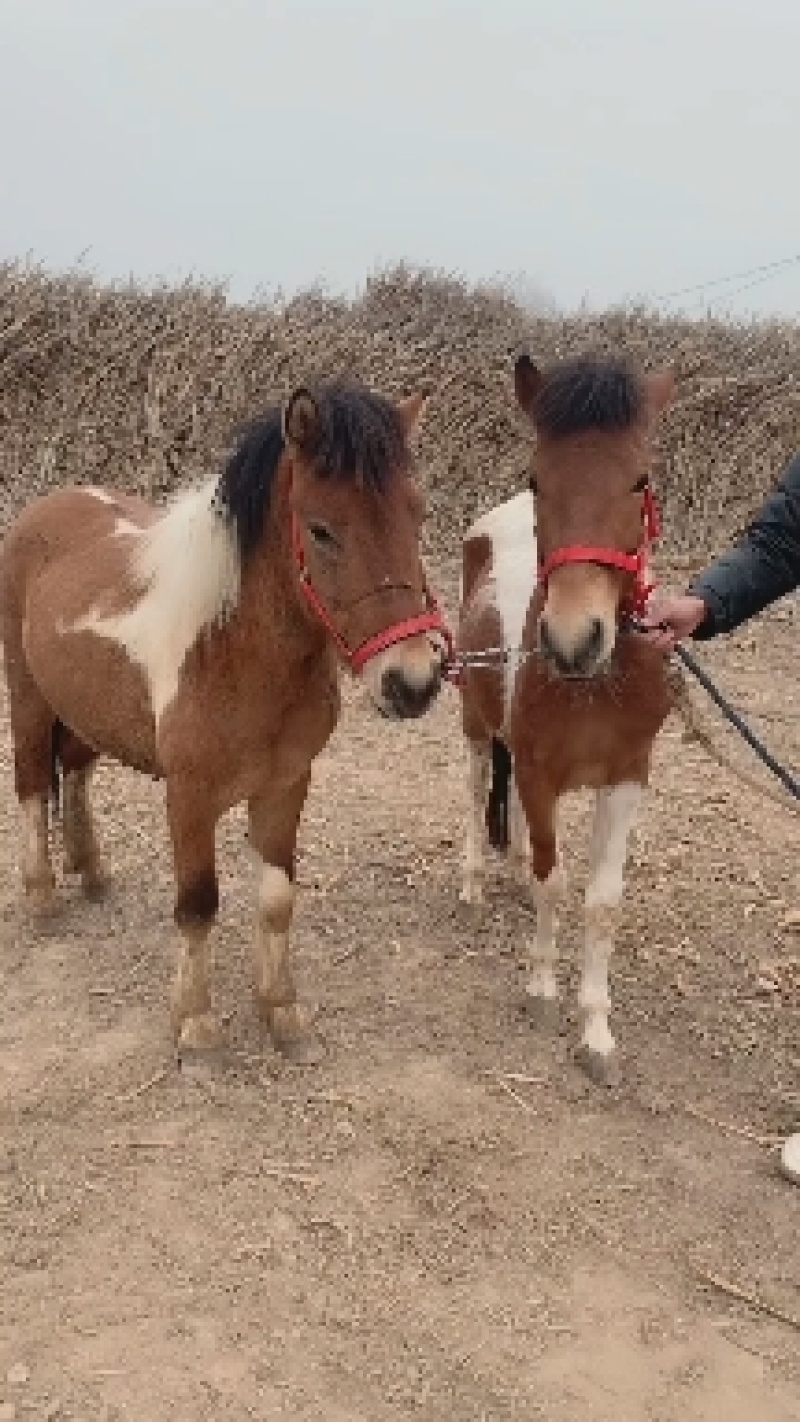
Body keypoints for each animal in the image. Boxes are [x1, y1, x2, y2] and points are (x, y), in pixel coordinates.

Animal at [1, 380, 449, 1064]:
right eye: (321, 529)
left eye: (416, 515)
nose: (413, 682)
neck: (231, 651)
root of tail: (46, 508)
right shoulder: (189, 798)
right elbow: (197, 903)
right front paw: (196, 1023)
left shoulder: (286, 786)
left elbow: (277, 900)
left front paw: (283, 1013)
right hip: (27, 697)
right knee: (31, 784)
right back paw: (44, 896)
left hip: (82, 710)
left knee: (74, 772)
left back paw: (93, 874)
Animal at [457, 352, 676, 1085]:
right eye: (538, 479)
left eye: (640, 480)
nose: (574, 640)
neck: (596, 683)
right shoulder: (540, 770)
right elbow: (555, 876)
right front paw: (543, 990)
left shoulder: (625, 778)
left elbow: (601, 902)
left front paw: (596, 1032)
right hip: (476, 725)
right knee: (477, 788)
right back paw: (473, 885)